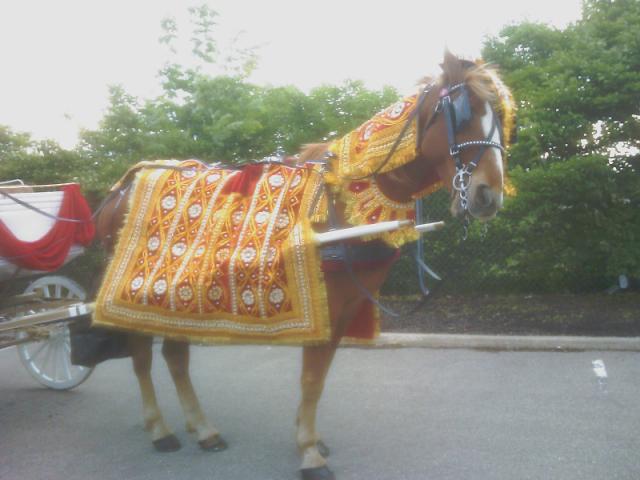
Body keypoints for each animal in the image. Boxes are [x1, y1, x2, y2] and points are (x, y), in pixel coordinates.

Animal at [95, 52, 516, 480]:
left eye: (503, 120)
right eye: (462, 113)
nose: (488, 195)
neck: (346, 198)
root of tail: (123, 188)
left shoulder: (344, 310)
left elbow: (319, 378)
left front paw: (308, 436)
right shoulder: (325, 304)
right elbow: (312, 379)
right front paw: (310, 453)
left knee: (175, 358)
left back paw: (204, 429)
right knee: (142, 357)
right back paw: (159, 429)